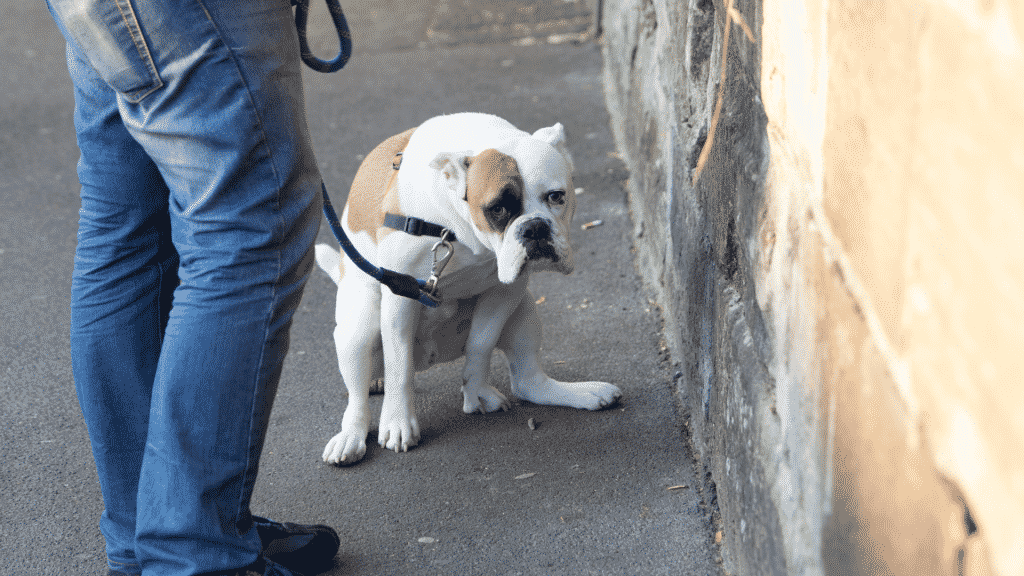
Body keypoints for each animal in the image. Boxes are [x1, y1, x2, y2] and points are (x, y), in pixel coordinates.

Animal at [315, 112, 618, 461]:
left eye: (556, 196)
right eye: (497, 209)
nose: (535, 228)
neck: (462, 231)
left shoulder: (507, 289)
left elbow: (481, 343)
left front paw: (476, 391)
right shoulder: (401, 297)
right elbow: (399, 367)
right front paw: (399, 422)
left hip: (526, 309)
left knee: (528, 382)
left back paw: (583, 393)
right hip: (359, 329)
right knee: (359, 397)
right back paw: (351, 437)